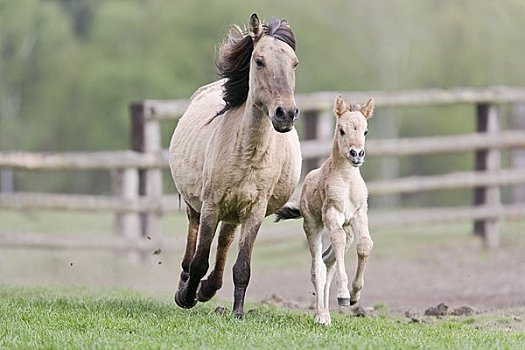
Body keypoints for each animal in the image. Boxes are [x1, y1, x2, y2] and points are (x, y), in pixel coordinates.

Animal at [168, 14, 298, 320]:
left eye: (294, 63)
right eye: (259, 61)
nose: (285, 114)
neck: (246, 153)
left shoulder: (254, 212)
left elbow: (242, 267)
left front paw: (237, 312)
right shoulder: (211, 204)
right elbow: (200, 260)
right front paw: (186, 297)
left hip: (233, 213)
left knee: (225, 242)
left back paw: (207, 289)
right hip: (198, 205)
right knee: (193, 240)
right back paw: (186, 286)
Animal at [274, 95, 372, 326]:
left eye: (365, 131)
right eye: (342, 130)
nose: (357, 154)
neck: (347, 180)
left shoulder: (359, 214)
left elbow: (365, 245)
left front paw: (355, 295)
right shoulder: (331, 213)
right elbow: (335, 240)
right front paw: (344, 295)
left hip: (348, 229)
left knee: (328, 261)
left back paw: (326, 313)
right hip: (312, 225)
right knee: (317, 267)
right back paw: (321, 316)